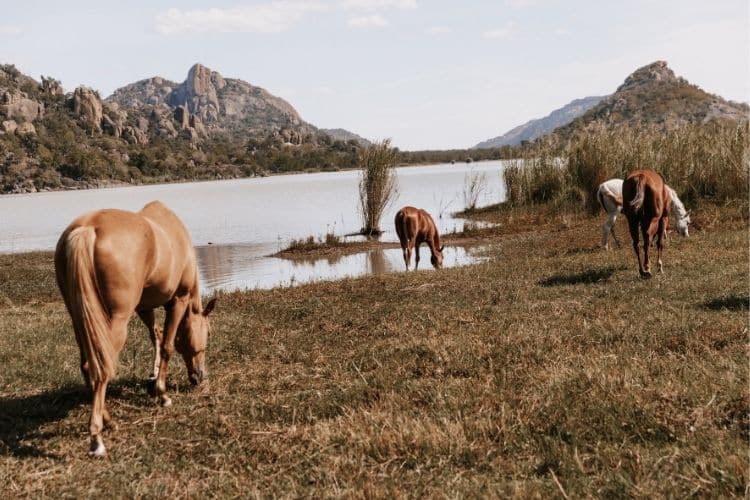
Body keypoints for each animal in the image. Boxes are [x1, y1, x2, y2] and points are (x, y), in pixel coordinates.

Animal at [54, 200, 217, 457]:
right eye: (208, 333)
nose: (200, 376)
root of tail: (87, 229)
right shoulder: (178, 301)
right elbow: (168, 345)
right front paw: (162, 394)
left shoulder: (144, 307)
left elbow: (155, 335)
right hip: (116, 321)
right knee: (101, 368)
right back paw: (97, 438)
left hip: (80, 319)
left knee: (89, 365)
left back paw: (108, 420)